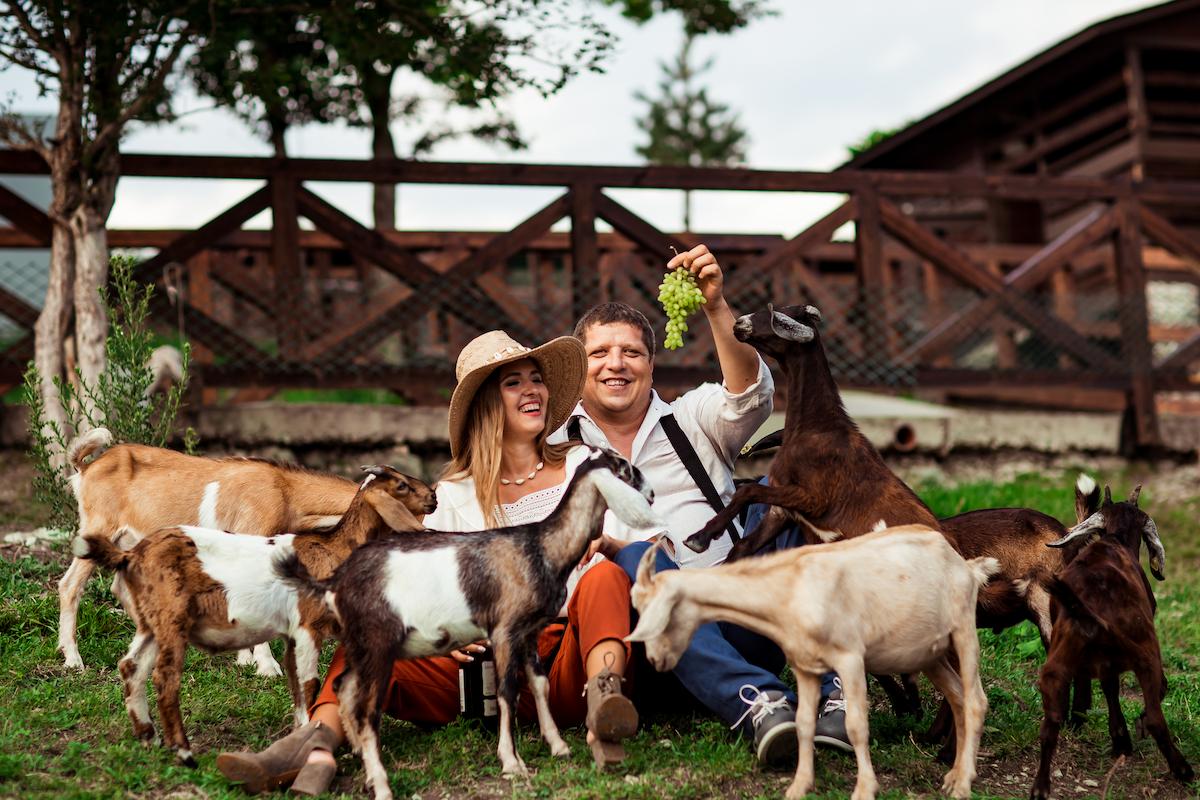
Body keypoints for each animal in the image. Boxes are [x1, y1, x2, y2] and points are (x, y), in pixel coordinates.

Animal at [60, 429, 357, 671]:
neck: (285, 492)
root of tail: (85, 468)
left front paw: (245, 660)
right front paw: (267, 667)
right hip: (96, 532)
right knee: (70, 585)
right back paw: (73, 660)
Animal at [71, 465, 436, 767]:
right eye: (401, 485)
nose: (433, 496)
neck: (332, 550)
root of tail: (130, 555)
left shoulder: (292, 634)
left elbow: (296, 685)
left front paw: (298, 733)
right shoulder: (307, 626)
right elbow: (310, 683)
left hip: (150, 623)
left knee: (131, 667)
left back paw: (149, 739)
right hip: (171, 619)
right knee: (164, 677)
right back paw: (184, 752)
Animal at [628, 525, 993, 800]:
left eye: (660, 616)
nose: (656, 660)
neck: (790, 589)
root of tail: (967, 566)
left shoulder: (850, 658)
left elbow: (856, 726)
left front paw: (865, 789)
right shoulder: (804, 666)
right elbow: (804, 723)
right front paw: (799, 786)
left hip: (963, 627)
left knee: (976, 700)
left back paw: (963, 785)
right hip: (929, 652)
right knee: (958, 699)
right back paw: (954, 775)